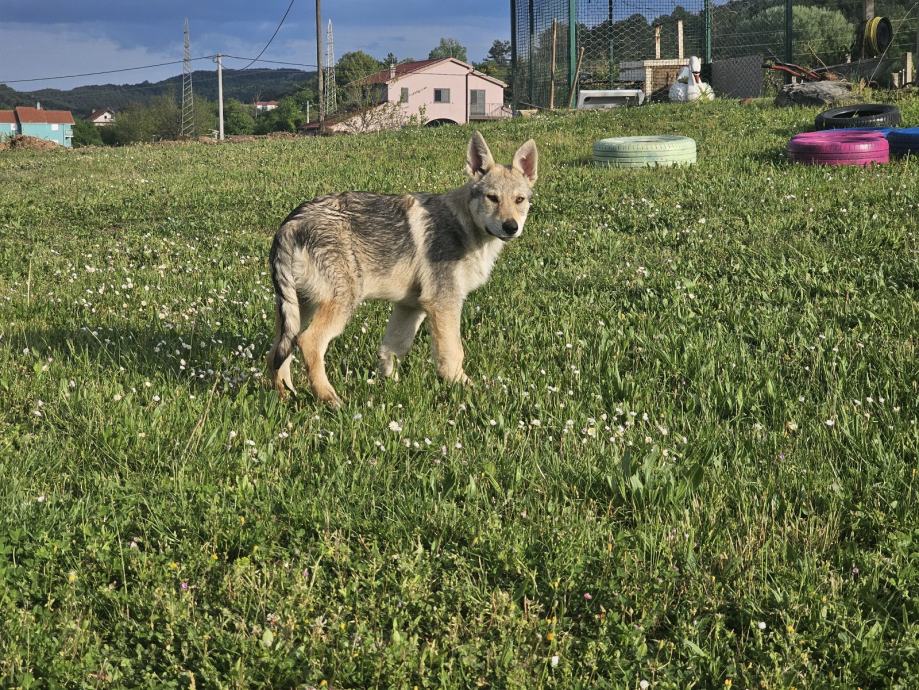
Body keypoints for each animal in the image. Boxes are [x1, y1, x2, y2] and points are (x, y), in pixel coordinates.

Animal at [267, 131, 538, 406]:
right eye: (492, 198)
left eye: (519, 200)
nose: (511, 227)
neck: (463, 226)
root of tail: (292, 223)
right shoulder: (444, 303)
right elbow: (452, 355)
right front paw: (468, 388)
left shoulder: (411, 307)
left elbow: (392, 350)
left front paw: (389, 387)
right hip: (340, 305)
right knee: (308, 343)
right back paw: (330, 399)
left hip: (297, 311)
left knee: (276, 354)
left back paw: (284, 396)